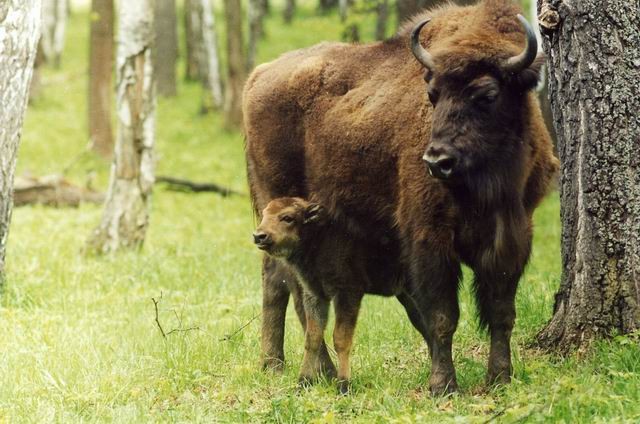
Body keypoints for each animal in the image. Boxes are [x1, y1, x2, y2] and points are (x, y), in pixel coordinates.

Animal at [254, 197, 400, 392]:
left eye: (287, 217)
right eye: (264, 214)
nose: (259, 236)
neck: (319, 240)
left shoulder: (347, 294)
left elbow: (341, 338)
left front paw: (344, 385)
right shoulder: (315, 295)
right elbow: (312, 337)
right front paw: (302, 382)